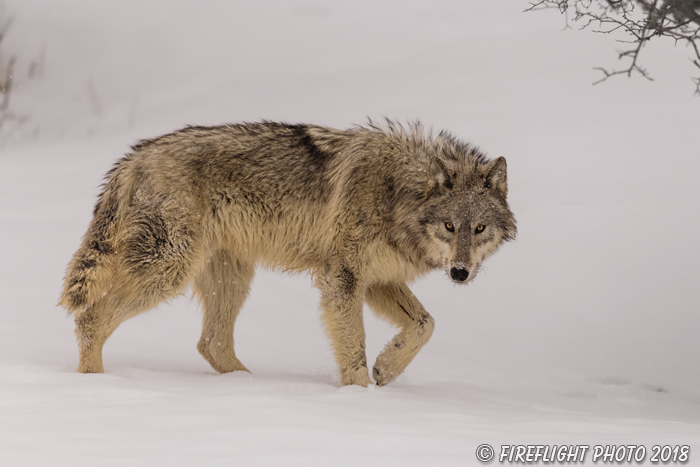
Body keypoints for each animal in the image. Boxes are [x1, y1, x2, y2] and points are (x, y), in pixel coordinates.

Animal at [60, 120, 516, 388]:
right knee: (90, 319)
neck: (396, 193)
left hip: (231, 278)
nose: (459, 273)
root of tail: (133, 157)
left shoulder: (378, 280)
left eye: (479, 229)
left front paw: (387, 368)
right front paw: (361, 398)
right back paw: (93, 387)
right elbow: (355, 347)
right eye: (449, 227)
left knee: (211, 344)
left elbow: (425, 324)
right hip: (169, 270)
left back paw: (248, 389)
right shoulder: (343, 278)